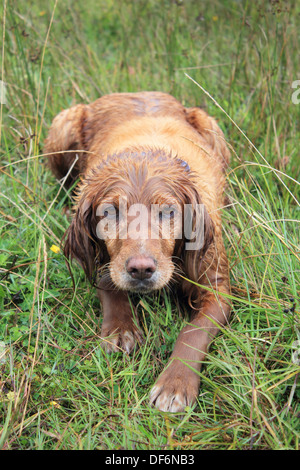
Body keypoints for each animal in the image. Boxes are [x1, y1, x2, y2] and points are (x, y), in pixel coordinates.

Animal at [45, 92, 232, 412]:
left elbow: (194, 331)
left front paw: (175, 382)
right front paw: (121, 329)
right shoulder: (107, 261)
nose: (142, 269)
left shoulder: (217, 286)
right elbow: (109, 284)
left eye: (168, 211)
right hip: (63, 123)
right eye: (110, 211)